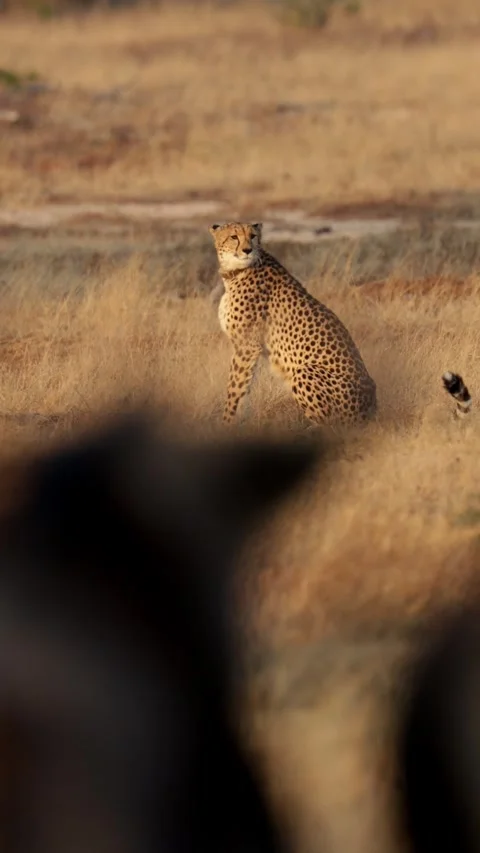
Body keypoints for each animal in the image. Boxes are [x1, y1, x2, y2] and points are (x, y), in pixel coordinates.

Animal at [209, 221, 377, 426]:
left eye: (253, 236)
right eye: (234, 237)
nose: (247, 250)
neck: (236, 272)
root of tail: (371, 407)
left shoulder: (247, 345)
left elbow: (234, 388)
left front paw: (226, 423)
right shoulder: (248, 348)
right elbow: (243, 388)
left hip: (304, 372)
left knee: (332, 424)